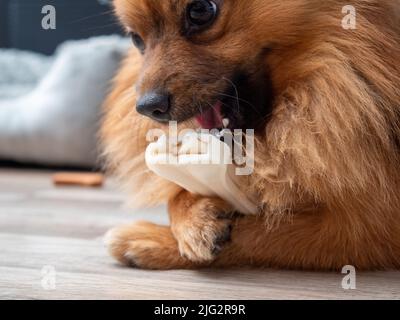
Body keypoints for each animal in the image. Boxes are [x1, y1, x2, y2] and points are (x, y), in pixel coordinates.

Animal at [101, 0, 400, 270]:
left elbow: (263, 232)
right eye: (136, 38)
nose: (148, 106)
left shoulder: (370, 225)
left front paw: (150, 239)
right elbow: (179, 195)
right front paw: (193, 220)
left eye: (200, 10)